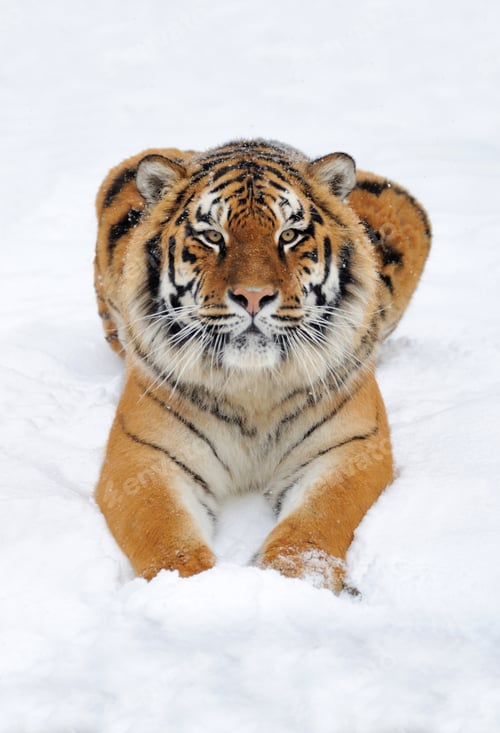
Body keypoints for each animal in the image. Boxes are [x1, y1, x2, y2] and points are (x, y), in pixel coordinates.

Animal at [93, 139, 431, 592]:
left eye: (288, 235)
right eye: (212, 236)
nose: (253, 297)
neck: (253, 387)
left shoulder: (352, 446)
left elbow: (317, 523)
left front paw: (294, 583)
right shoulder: (145, 456)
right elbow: (166, 534)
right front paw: (192, 590)